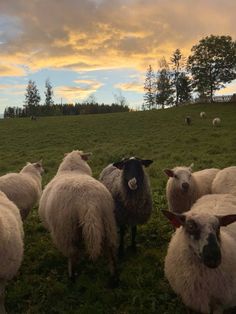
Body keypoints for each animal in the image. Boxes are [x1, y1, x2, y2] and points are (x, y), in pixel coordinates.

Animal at [39, 151, 120, 286]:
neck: (72, 170)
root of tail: (87, 201)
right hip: (108, 222)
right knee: (111, 251)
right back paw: (114, 277)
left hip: (66, 231)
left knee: (72, 255)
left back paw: (72, 277)